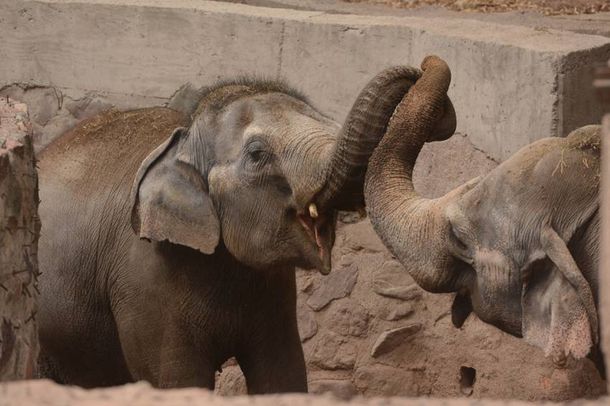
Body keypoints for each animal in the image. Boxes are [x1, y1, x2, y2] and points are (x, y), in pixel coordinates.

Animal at [35, 70, 422, 394]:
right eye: (257, 154)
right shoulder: (145, 282)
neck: (184, 135)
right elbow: (179, 383)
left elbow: (282, 376)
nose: (419, 70)